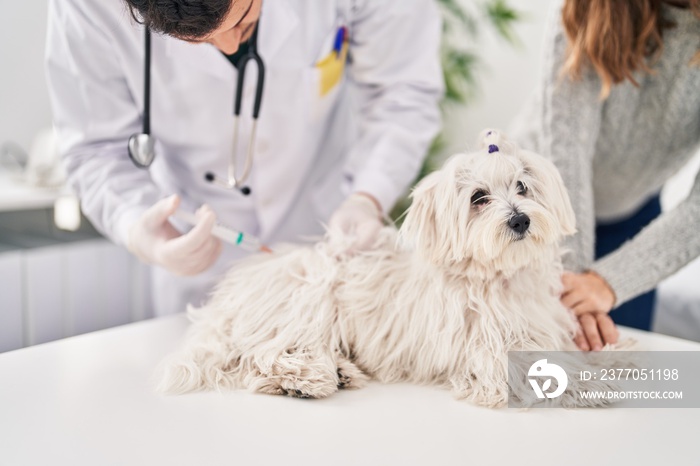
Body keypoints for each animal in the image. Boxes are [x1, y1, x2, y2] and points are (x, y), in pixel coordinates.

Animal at [157, 129, 628, 406]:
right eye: (479, 198)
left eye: (522, 186)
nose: (520, 220)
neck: (495, 278)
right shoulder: (489, 354)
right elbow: (540, 369)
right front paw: (592, 384)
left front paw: (612, 356)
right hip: (307, 301)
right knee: (261, 358)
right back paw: (303, 379)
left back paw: (341, 371)